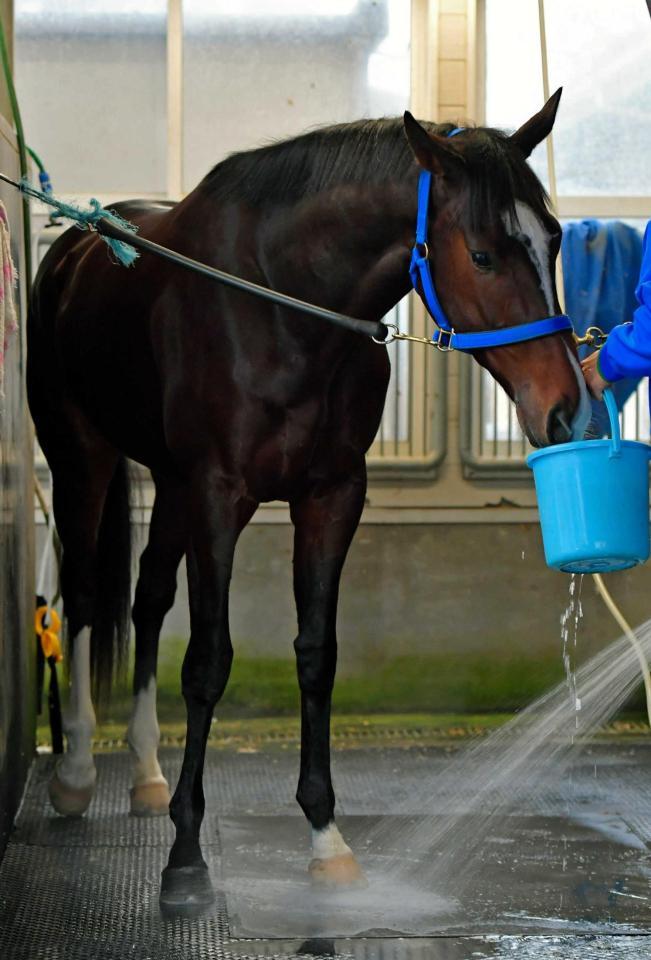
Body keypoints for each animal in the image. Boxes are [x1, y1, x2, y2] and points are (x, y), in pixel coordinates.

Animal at [28, 92, 592, 916]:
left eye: (552, 241)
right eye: (484, 254)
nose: (568, 410)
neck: (285, 304)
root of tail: (77, 245)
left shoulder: (330, 497)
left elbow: (316, 656)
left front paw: (327, 841)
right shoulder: (219, 497)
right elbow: (208, 663)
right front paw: (186, 859)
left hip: (168, 485)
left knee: (148, 600)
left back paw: (145, 772)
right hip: (83, 458)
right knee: (84, 598)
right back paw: (73, 770)